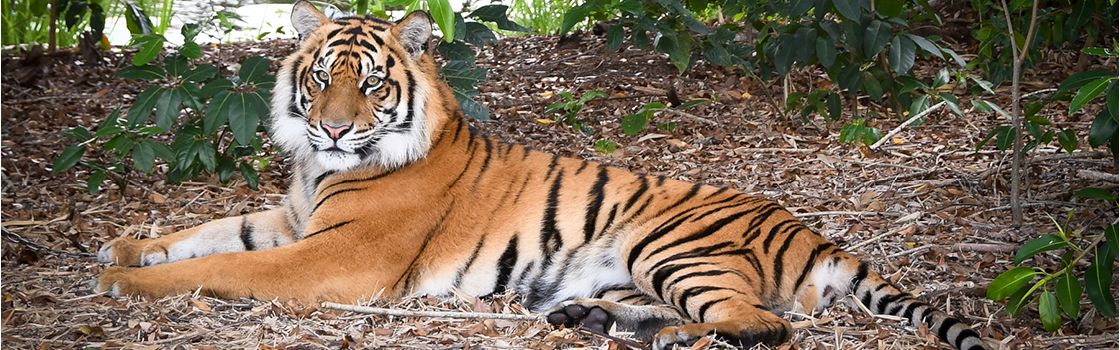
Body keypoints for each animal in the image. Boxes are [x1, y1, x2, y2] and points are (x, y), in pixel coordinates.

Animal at [96, 1, 990, 347]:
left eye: (373, 83)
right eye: (321, 77)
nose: (335, 126)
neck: (321, 170)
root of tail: (813, 231)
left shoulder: (337, 254)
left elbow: (224, 268)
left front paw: (124, 284)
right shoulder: (290, 217)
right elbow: (209, 231)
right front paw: (121, 247)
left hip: (673, 247)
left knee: (764, 326)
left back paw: (662, 338)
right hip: (634, 268)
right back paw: (590, 320)